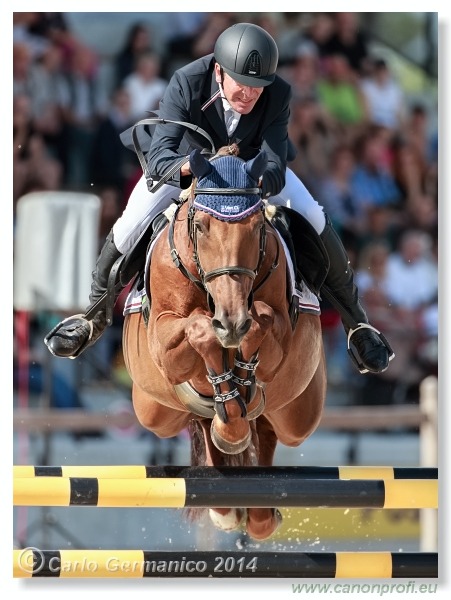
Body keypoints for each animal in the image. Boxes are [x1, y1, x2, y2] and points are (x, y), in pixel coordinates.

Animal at [122, 144, 328, 540]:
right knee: (205, 421)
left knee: (267, 427)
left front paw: (243, 371)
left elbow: (261, 319)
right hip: (154, 411)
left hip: (299, 413)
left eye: (257, 227)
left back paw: (259, 513)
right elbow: (199, 329)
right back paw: (227, 503)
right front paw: (230, 418)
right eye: (201, 227)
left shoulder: (277, 333)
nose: (231, 322)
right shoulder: (164, 344)